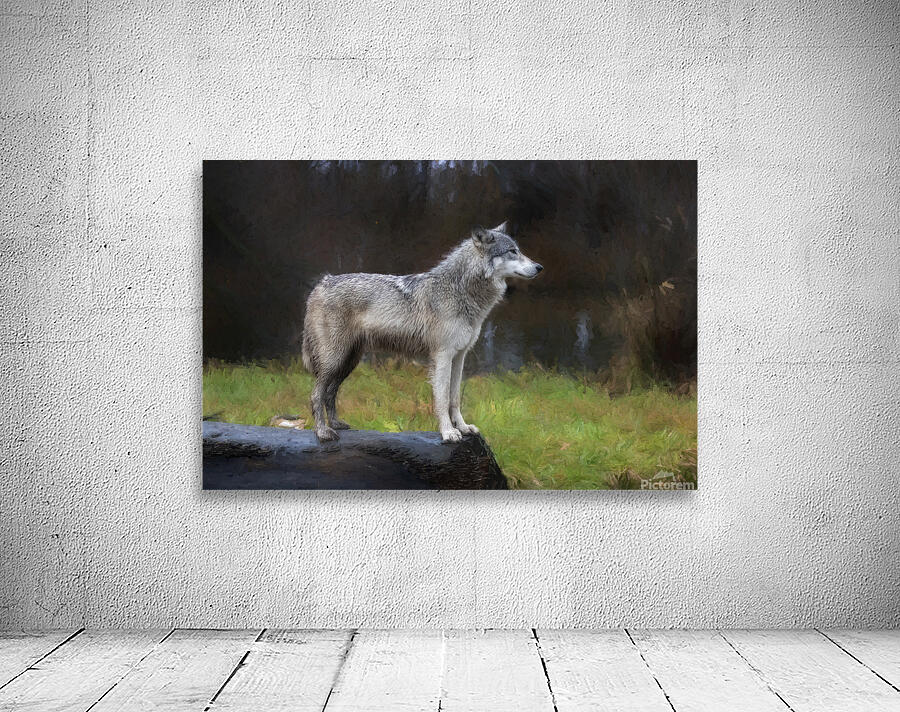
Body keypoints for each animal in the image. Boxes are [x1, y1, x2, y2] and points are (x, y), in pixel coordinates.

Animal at [301, 221, 543, 443]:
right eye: (512, 251)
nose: (539, 267)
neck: (460, 291)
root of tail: (321, 283)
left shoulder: (460, 357)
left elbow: (455, 398)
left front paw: (463, 428)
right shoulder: (442, 356)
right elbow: (442, 399)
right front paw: (448, 432)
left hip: (348, 362)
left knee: (330, 392)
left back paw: (336, 424)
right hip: (334, 360)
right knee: (316, 394)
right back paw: (322, 432)